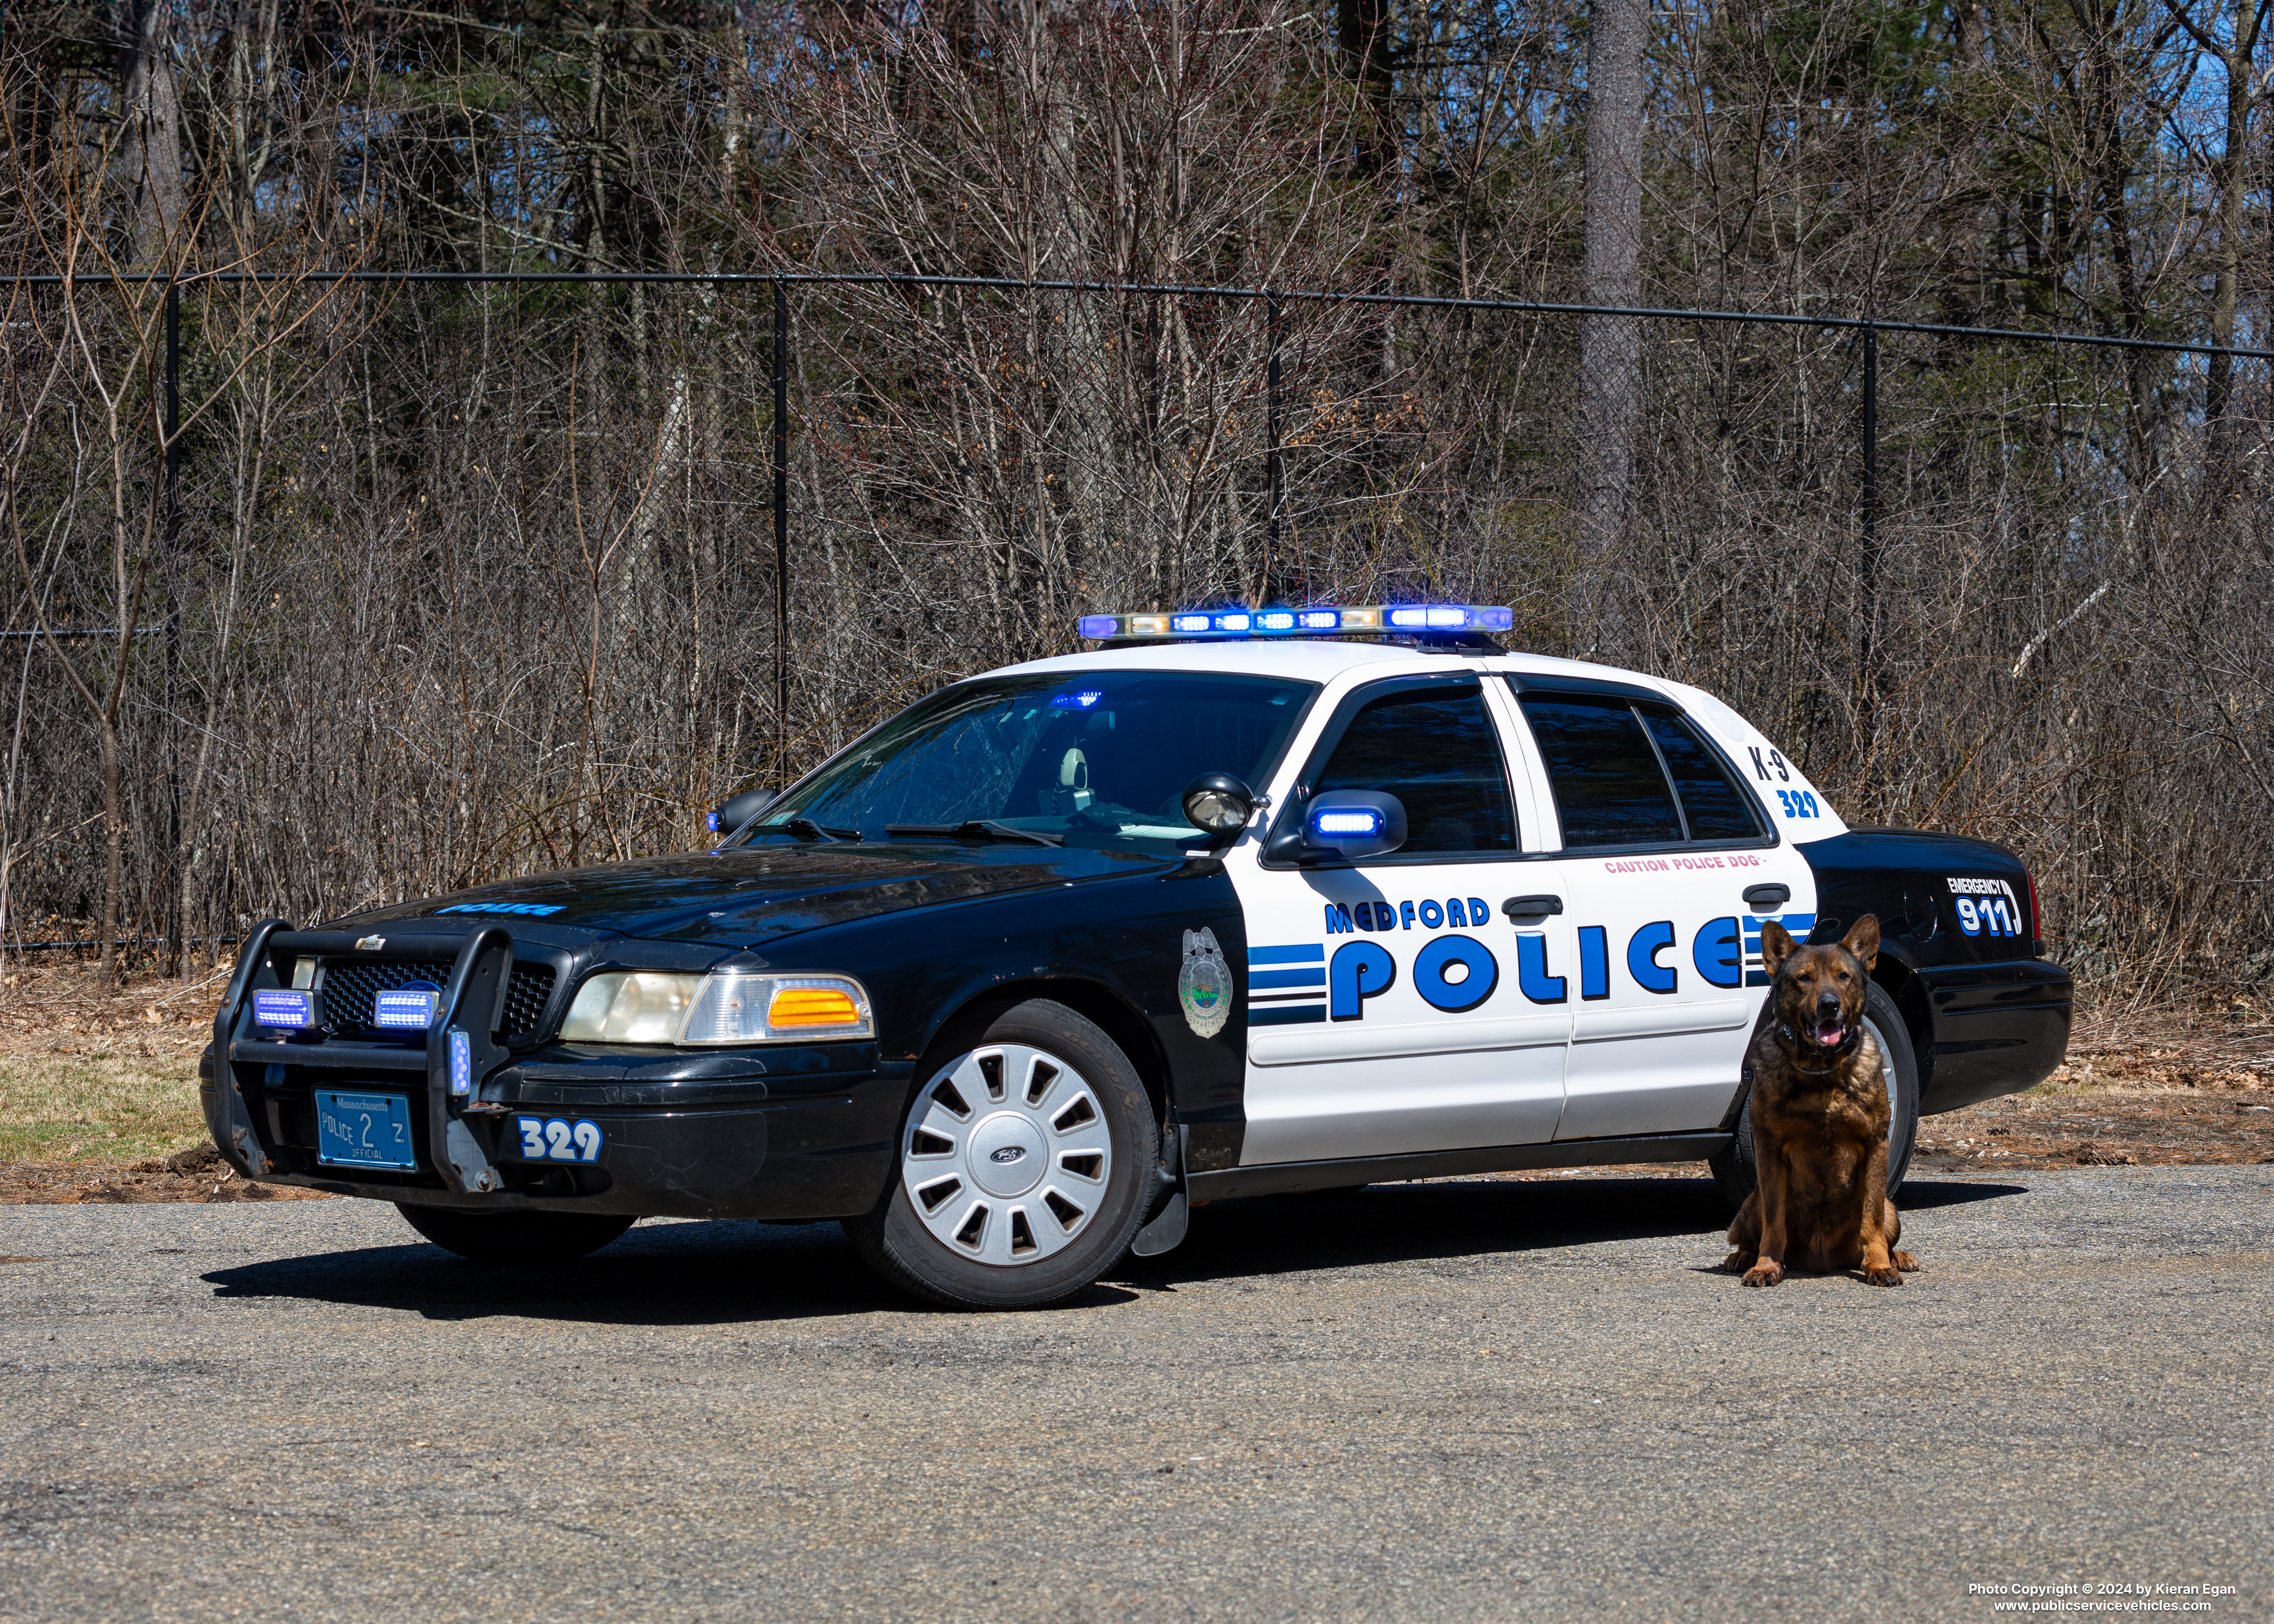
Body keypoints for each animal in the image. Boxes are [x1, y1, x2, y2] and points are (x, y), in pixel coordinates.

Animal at [1719, 919, 1919, 1283]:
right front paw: (1767, 1265)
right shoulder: (1768, 1149)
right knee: (1749, 1234)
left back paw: (1896, 1257)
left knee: (1882, 1228)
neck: (1821, 1070)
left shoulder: (1875, 1144)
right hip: (1750, 1205)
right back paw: (1743, 1257)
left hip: (1891, 1209)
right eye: (1804, 978)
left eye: (1843, 976)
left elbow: (1871, 1221)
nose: (1829, 1004)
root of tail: (1822, 1261)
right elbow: (1774, 1222)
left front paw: (1879, 1264)